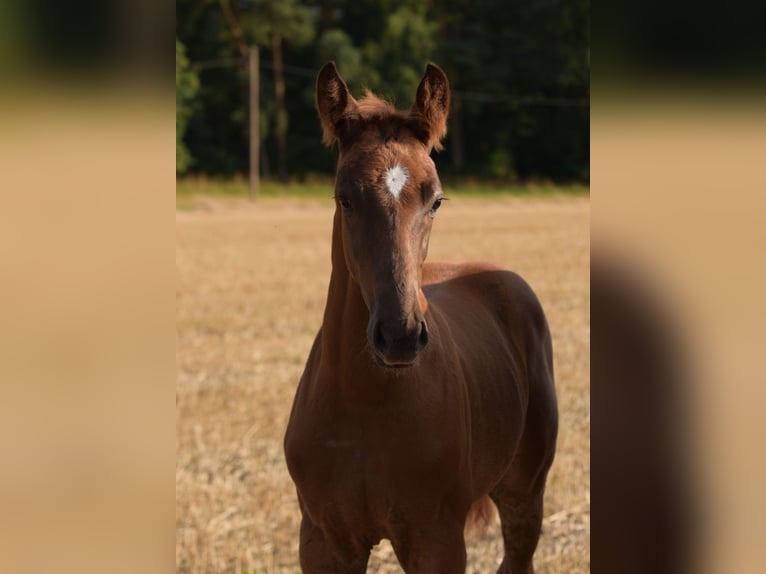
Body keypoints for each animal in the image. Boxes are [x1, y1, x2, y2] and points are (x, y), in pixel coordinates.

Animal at [282, 60, 560, 572]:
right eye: (344, 197)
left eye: (436, 199)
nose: (400, 336)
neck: (365, 403)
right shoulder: (324, 540)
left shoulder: (436, 539)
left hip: (524, 494)